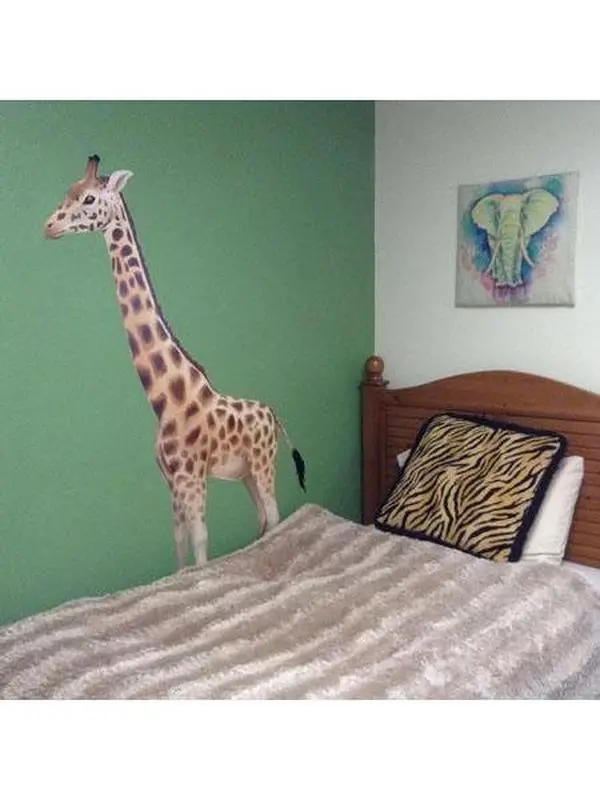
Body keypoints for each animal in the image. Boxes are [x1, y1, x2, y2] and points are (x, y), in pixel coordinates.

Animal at [43, 155, 306, 569]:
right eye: (66, 190)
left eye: (88, 198)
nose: (49, 226)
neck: (167, 400)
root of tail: (273, 414)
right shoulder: (169, 480)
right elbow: (180, 541)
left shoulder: (191, 477)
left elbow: (200, 541)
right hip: (245, 471)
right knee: (263, 516)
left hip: (264, 464)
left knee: (274, 513)